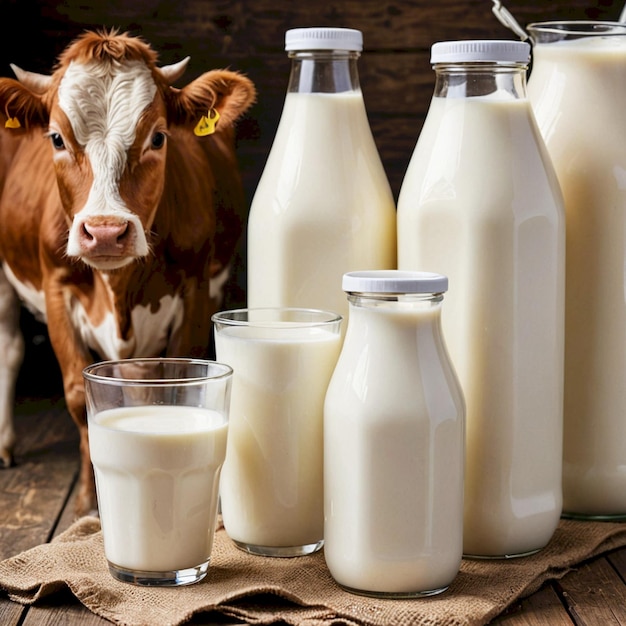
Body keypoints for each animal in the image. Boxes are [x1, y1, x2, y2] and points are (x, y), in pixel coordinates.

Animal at [0, 29, 256, 516]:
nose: (104, 232)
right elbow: (78, 394)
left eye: (158, 137)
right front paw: (88, 504)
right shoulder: (56, 289)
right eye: (57, 138)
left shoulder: (197, 289)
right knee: (9, 348)